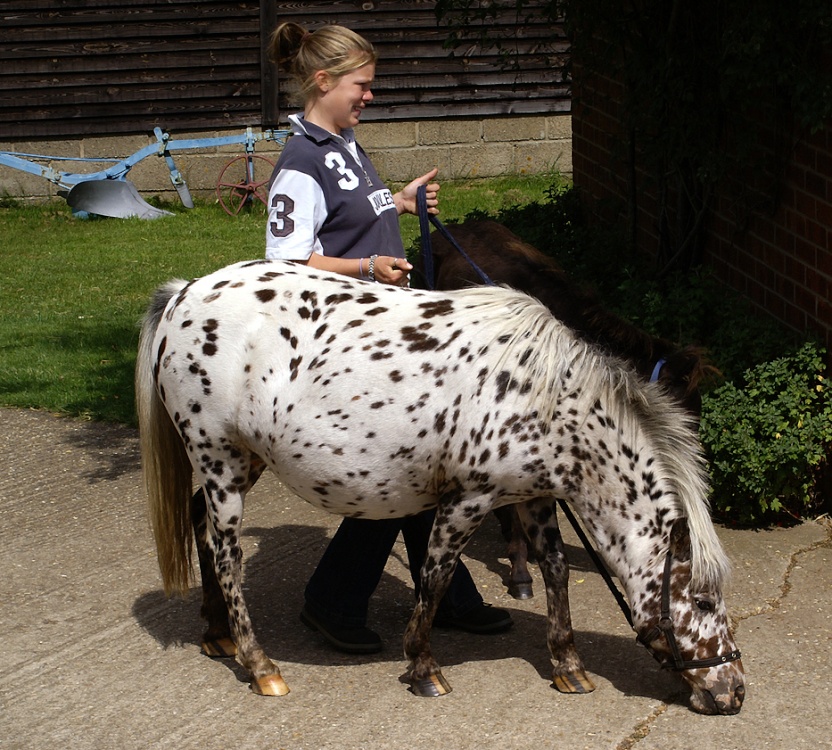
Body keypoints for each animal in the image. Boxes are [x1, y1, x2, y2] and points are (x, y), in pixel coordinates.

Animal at [135, 259, 745, 714]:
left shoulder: (535, 496)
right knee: (226, 553)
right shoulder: (469, 499)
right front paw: (424, 668)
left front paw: (568, 665)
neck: (548, 395)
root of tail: (182, 294)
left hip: (242, 461)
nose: (735, 692)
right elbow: (435, 576)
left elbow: (554, 570)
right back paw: (260, 663)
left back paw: (218, 634)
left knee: (200, 524)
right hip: (219, 459)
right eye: (704, 599)